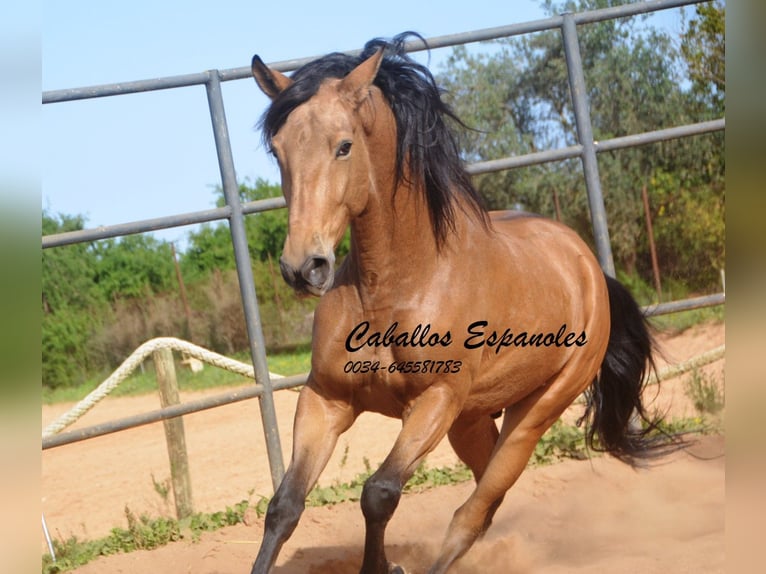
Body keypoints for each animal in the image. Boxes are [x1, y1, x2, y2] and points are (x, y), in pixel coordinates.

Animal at [250, 32, 664, 574]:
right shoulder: (326, 398)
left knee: (476, 509)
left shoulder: (435, 400)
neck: (397, 286)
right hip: (471, 421)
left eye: (344, 146)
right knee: (486, 500)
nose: (304, 267)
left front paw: (384, 566)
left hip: (534, 413)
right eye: (278, 151)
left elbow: (379, 492)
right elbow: (285, 506)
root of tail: (587, 263)